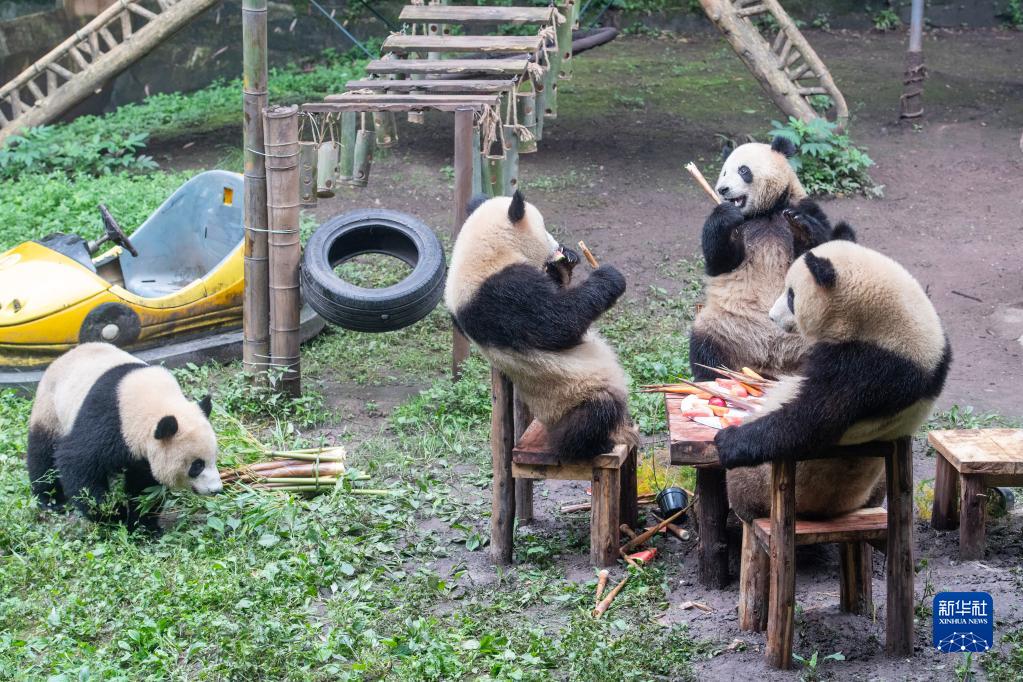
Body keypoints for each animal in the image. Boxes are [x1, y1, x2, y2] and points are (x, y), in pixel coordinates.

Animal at [26, 343, 220, 531]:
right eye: (197, 465)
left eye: (214, 458)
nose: (217, 489)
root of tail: (63, 356)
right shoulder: (107, 421)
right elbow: (77, 462)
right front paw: (113, 513)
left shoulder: (141, 453)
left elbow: (144, 486)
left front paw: (144, 525)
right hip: (51, 408)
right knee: (42, 452)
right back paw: (51, 499)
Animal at [448, 189, 638, 462]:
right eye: (545, 228)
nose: (556, 244)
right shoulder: (502, 293)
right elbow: (560, 323)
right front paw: (609, 276)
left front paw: (566, 259)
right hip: (572, 396)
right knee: (594, 414)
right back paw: (593, 445)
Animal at [687, 137, 855, 384]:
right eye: (724, 172)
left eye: (743, 170)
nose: (722, 189)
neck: (765, 213)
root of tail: (770, 364)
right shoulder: (742, 228)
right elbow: (720, 262)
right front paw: (725, 213)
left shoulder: (802, 206)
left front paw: (801, 228)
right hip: (725, 325)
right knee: (704, 346)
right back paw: (711, 377)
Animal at [712, 240, 949, 517]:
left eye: (791, 295)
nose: (771, 317)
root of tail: (833, 510)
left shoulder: (871, 370)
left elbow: (807, 420)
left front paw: (726, 441)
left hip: (766, 484)